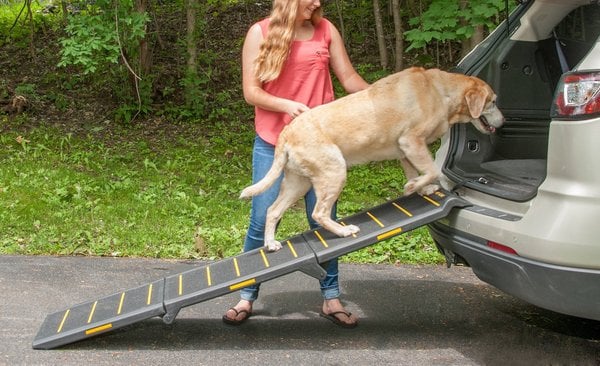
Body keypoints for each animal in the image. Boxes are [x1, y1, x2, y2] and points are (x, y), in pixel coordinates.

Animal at [241, 67, 504, 252]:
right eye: (493, 101)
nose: (504, 121)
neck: (442, 92)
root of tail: (286, 132)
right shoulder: (412, 141)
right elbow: (431, 170)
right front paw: (413, 187)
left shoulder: (405, 151)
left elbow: (420, 172)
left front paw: (421, 189)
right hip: (334, 172)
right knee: (319, 213)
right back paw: (343, 231)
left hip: (298, 183)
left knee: (272, 210)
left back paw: (271, 244)